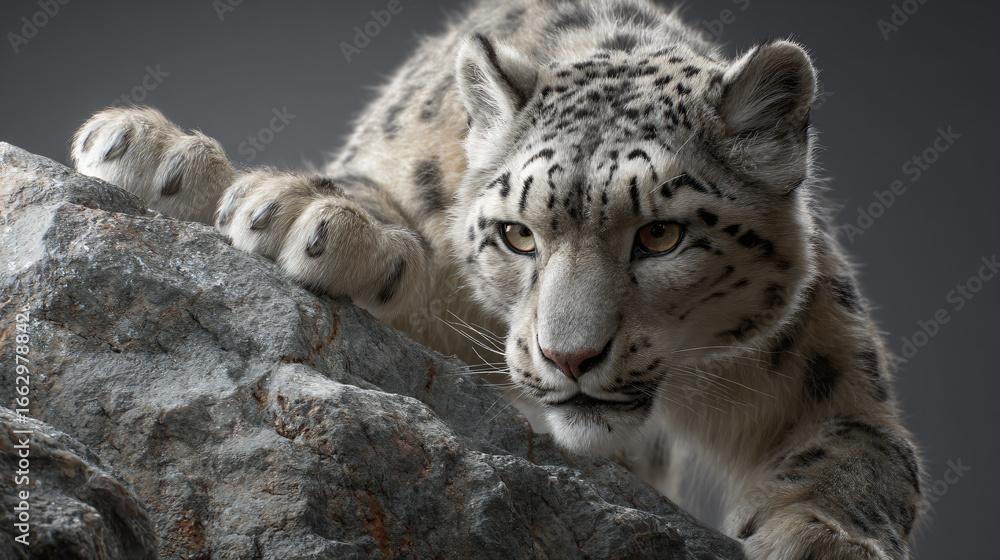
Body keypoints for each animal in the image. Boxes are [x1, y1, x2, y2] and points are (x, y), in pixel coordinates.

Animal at [69, 0, 925, 558]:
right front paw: (308, 215)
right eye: (518, 234)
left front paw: (824, 538)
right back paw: (149, 148)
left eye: (661, 234)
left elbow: (865, 454)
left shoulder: (825, 359)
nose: (570, 357)